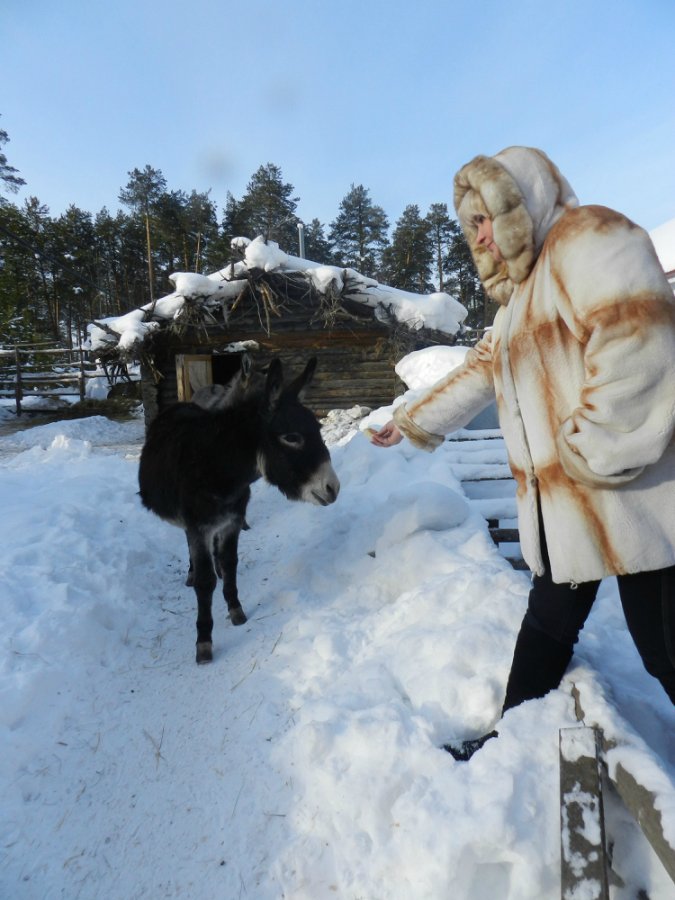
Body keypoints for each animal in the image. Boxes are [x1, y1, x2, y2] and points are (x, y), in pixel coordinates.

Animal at [138, 354, 339, 663]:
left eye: (318, 430)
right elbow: (205, 582)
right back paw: (191, 573)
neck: (219, 467)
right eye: (291, 438)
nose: (333, 487)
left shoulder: (233, 520)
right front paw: (204, 641)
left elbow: (231, 562)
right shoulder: (199, 527)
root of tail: (180, 405)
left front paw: (235, 609)